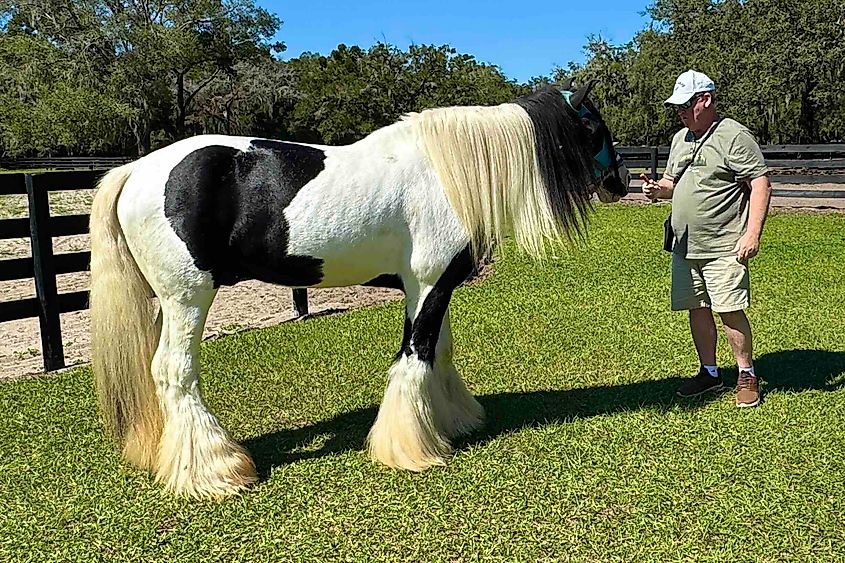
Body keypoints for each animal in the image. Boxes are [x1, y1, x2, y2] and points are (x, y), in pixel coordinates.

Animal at [89, 81, 630, 499]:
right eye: (595, 128)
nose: (621, 184)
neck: (448, 173)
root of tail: (136, 170)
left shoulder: (433, 286)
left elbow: (440, 351)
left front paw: (454, 420)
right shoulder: (428, 284)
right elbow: (415, 356)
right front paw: (410, 448)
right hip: (189, 297)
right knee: (173, 373)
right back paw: (215, 471)